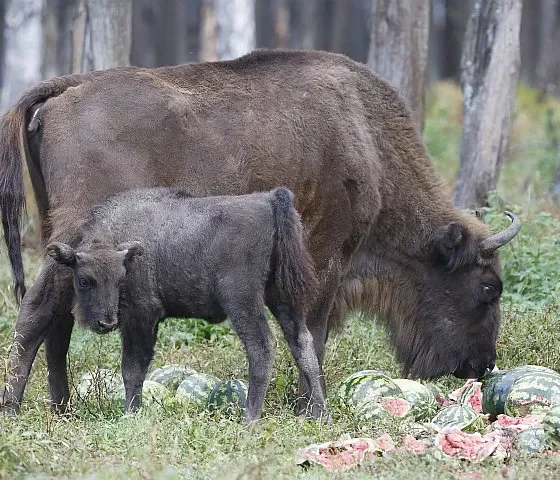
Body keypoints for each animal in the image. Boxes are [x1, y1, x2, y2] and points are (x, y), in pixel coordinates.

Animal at [46, 188, 326, 424]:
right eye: (84, 280)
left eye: (120, 278)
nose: (106, 322)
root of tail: (269, 199)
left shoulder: (142, 317)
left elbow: (132, 369)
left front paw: (130, 414)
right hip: (281, 298)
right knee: (302, 343)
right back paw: (322, 415)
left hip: (242, 300)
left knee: (262, 346)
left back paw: (250, 418)